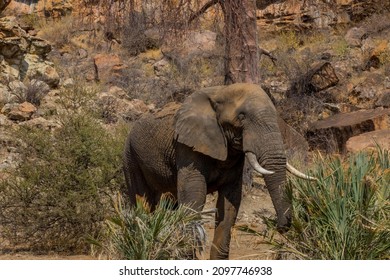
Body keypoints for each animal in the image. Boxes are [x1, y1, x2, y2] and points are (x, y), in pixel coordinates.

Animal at [123, 82, 316, 260]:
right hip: (130, 157)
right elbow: (195, 194)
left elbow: (229, 203)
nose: (280, 226)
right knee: (142, 201)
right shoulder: (187, 147)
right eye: (241, 116)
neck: (220, 91)